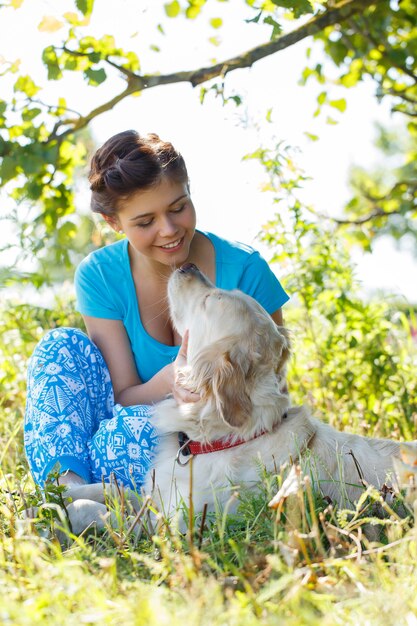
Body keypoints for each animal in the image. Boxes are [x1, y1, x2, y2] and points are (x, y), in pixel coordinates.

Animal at [39, 264, 416, 536]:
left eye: (209, 301)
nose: (187, 264)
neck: (218, 437)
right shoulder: (156, 496)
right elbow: (110, 490)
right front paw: (56, 495)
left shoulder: (181, 526)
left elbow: (108, 514)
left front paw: (62, 515)